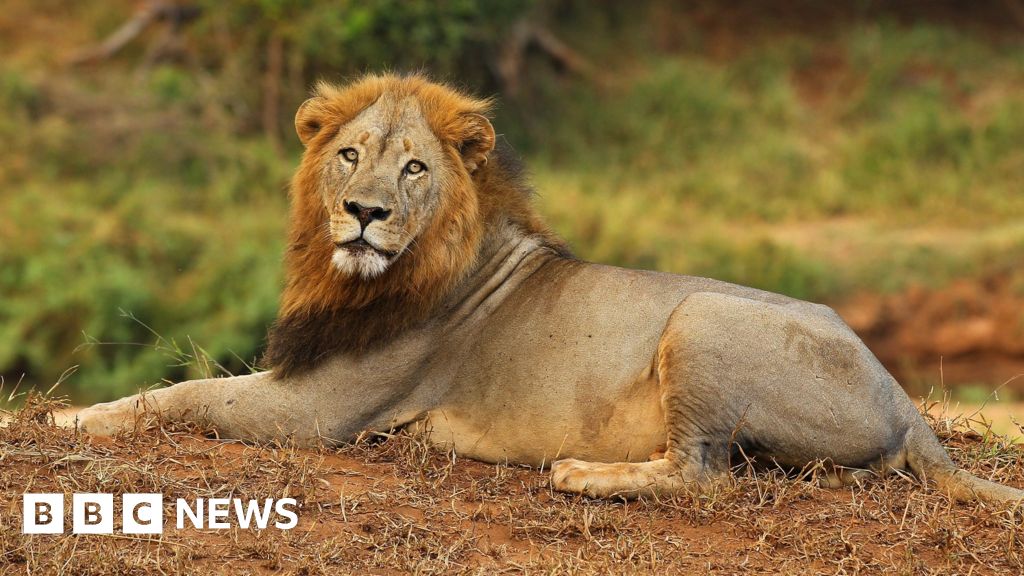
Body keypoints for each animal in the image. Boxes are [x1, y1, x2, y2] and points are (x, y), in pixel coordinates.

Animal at [79, 72, 1024, 502]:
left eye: (414, 169)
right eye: (348, 154)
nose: (363, 213)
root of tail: (903, 401)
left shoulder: (321, 411)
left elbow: (187, 394)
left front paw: (76, 417)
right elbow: (191, 386)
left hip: (703, 316)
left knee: (701, 473)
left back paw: (581, 474)